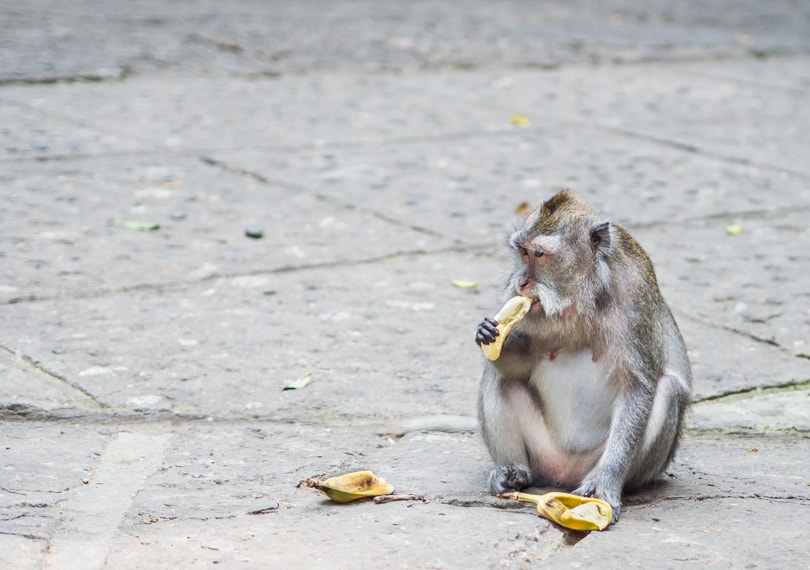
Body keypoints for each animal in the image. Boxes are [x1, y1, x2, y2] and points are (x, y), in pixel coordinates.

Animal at [475, 190, 692, 523]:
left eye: (539, 254)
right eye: (522, 253)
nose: (521, 282)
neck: (580, 301)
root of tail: (565, 475)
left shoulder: (634, 302)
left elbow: (637, 387)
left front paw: (605, 482)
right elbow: (518, 365)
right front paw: (494, 334)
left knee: (668, 388)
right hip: (544, 453)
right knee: (499, 378)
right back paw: (513, 473)